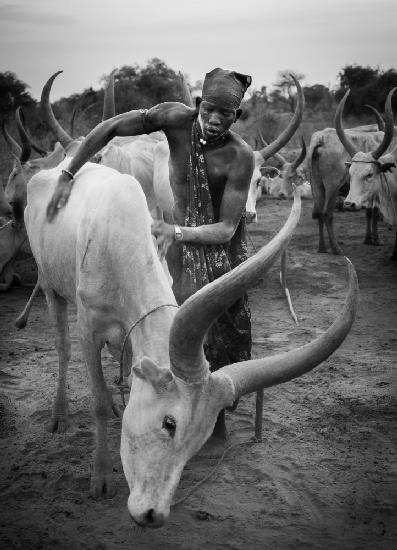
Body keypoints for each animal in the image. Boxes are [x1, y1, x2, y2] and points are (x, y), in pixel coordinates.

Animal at [26, 157, 358, 528]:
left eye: (199, 439)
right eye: (169, 423)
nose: (152, 515)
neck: (117, 243)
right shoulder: (89, 329)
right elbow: (96, 399)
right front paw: (100, 478)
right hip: (50, 286)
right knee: (62, 347)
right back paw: (60, 415)